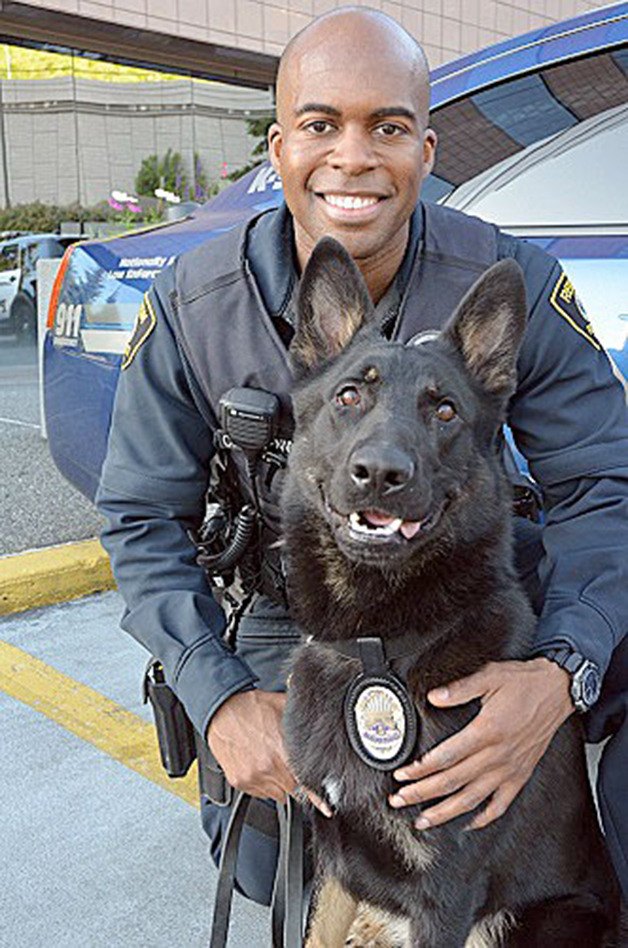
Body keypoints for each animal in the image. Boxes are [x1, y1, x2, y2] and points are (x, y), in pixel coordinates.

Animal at [280, 239, 620, 948]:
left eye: (444, 412)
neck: (376, 645)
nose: (380, 474)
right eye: (349, 396)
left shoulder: (445, 889)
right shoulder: (335, 857)